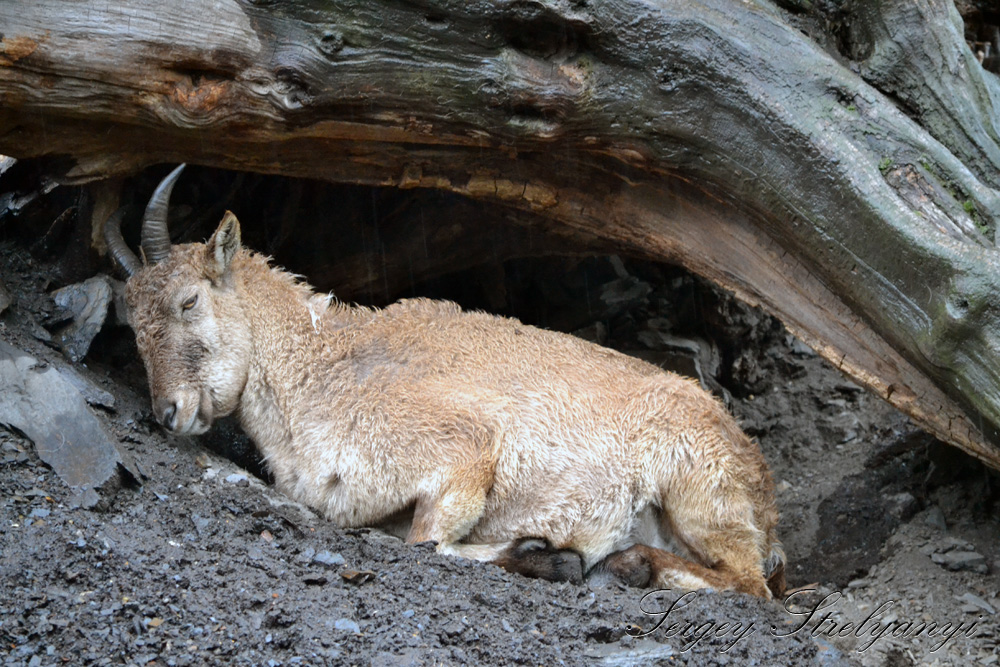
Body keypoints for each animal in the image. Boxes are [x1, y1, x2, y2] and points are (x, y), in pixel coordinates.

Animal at [105, 164, 784, 596]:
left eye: (189, 300)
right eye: (131, 322)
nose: (169, 411)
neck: (320, 366)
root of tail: (763, 490)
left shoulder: (463, 452)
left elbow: (427, 542)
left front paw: (547, 554)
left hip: (697, 490)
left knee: (751, 586)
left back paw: (631, 564)